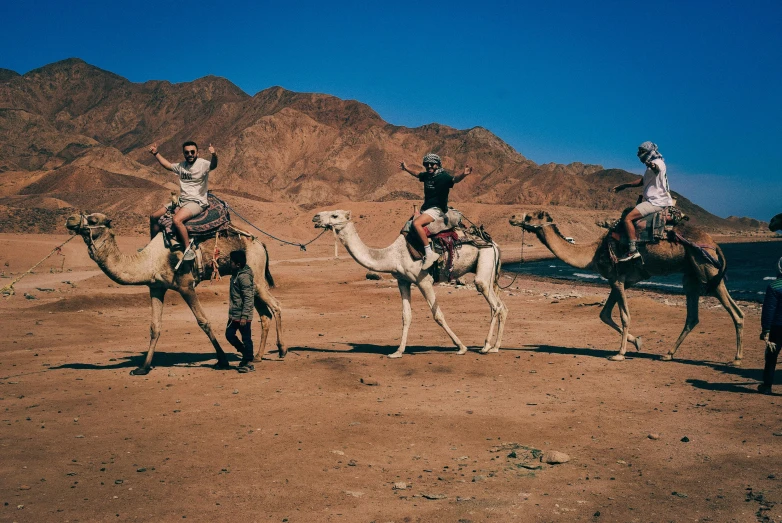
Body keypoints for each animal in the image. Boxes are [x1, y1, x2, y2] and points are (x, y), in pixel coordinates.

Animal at [64, 213, 284, 376]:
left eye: (93, 220)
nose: (70, 219)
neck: (150, 260)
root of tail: (261, 243)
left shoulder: (186, 285)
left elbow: (203, 321)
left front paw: (222, 360)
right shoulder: (156, 287)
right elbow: (155, 327)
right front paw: (143, 368)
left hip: (256, 275)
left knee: (276, 306)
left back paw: (281, 350)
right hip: (251, 281)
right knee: (265, 314)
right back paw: (257, 356)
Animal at [312, 211, 508, 358]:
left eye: (335, 215)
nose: (315, 217)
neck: (393, 256)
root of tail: (494, 243)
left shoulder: (423, 280)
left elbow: (438, 315)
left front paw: (461, 347)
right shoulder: (403, 281)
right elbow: (406, 316)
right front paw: (397, 351)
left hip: (485, 261)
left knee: (493, 303)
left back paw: (486, 346)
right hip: (489, 270)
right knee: (502, 306)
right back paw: (496, 346)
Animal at [512, 211, 744, 366]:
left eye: (530, 216)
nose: (513, 218)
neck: (593, 252)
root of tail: (715, 243)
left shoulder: (617, 280)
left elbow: (624, 316)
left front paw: (620, 353)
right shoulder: (619, 280)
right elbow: (604, 314)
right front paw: (637, 342)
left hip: (707, 270)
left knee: (736, 313)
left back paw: (736, 359)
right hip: (693, 276)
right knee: (694, 316)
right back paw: (668, 354)